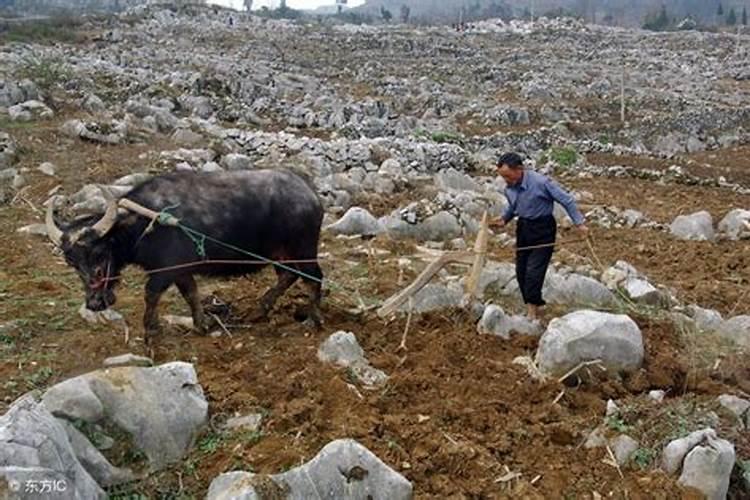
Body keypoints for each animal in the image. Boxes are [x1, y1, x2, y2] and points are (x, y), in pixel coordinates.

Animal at [47, 169, 324, 340]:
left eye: (100, 251)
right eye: (71, 261)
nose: (95, 303)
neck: (144, 224)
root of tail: (311, 195)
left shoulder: (166, 270)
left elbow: (151, 294)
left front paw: (151, 329)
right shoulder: (181, 271)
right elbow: (191, 293)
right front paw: (202, 324)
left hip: (304, 250)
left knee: (314, 278)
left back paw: (313, 320)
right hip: (281, 254)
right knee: (288, 277)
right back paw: (261, 308)